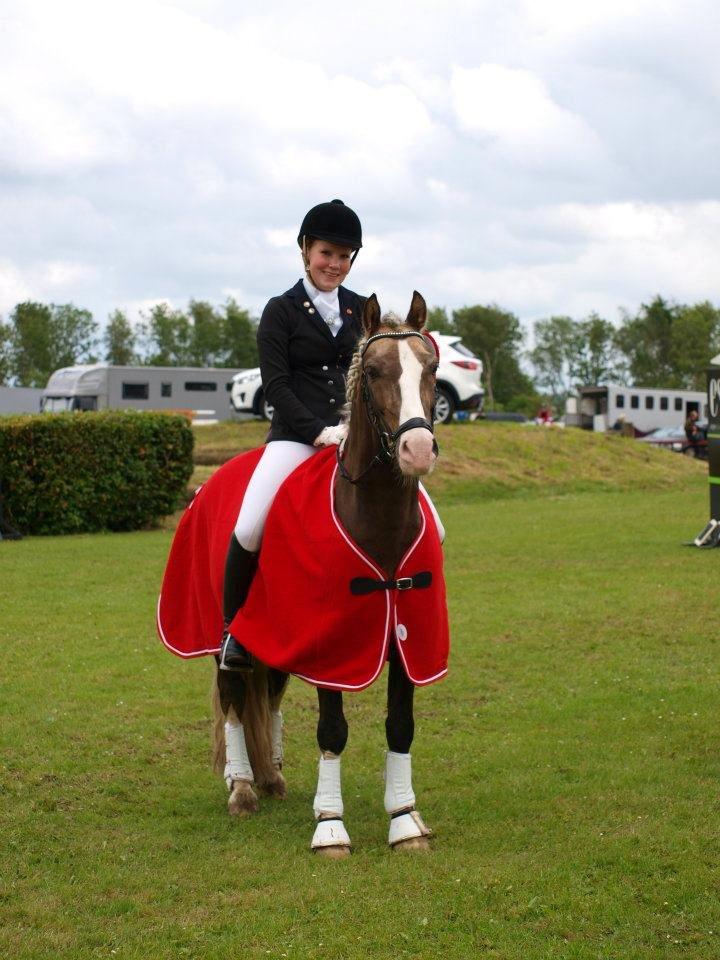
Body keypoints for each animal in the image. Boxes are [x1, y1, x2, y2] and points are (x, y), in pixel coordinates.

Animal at [158, 291, 448, 856]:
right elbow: (332, 731)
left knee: (268, 693)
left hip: (275, 633)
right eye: (374, 371)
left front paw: (405, 820)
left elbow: (401, 726)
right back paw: (243, 788)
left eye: (431, 367)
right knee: (233, 694)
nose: (417, 451)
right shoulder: (329, 648)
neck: (375, 516)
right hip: (222, 635)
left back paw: (272, 775)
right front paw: (330, 827)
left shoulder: (407, 638)